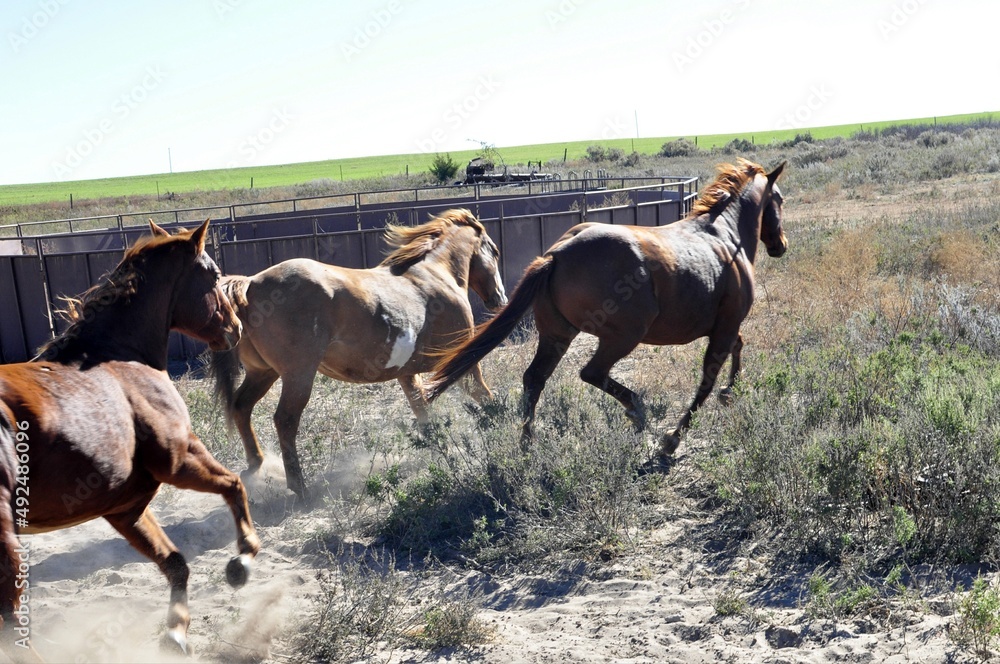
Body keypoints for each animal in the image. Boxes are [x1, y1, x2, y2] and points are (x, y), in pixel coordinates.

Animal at [0, 219, 259, 660]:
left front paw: (176, 634)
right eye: (214, 275)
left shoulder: (126, 507)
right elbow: (233, 484)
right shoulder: (179, 460)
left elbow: (174, 561)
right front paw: (243, 559)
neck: (120, 358)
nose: (235, 329)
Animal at [210, 208, 507, 501]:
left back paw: (255, 466)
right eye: (494, 251)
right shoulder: (464, 361)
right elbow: (484, 396)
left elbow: (422, 410)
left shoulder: (408, 374)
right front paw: (500, 425)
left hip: (263, 372)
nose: (500, 299)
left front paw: (434, 448)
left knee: (241, 406)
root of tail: (250, 285)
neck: (434, 275)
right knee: (284, 420)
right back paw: (300, 487)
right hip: (298, 375)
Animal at [426, 159, 788, 458]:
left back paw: (528, 445)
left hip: (557, 336)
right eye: (780, 199)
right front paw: (673, 439)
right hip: (622, 337)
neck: (724, 236)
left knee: (534, 379)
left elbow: (738, 348)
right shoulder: (725, 325)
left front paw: (730, 391)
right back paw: (637, 411)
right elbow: (707, 379)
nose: (780, 246)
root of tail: (556, 255)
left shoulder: (727, 326)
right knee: (591, 373)